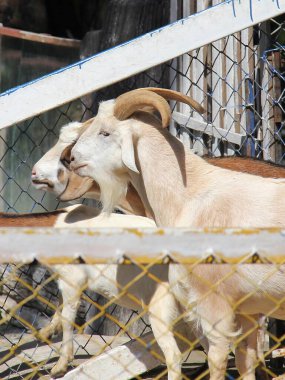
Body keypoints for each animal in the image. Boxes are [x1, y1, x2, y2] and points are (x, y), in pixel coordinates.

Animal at [69, 88, 285, 380]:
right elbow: (245, 363)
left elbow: (217, 359)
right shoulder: (248, 308)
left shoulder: (213, 302)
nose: (71, 159)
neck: (189, 196)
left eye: (106, 132)